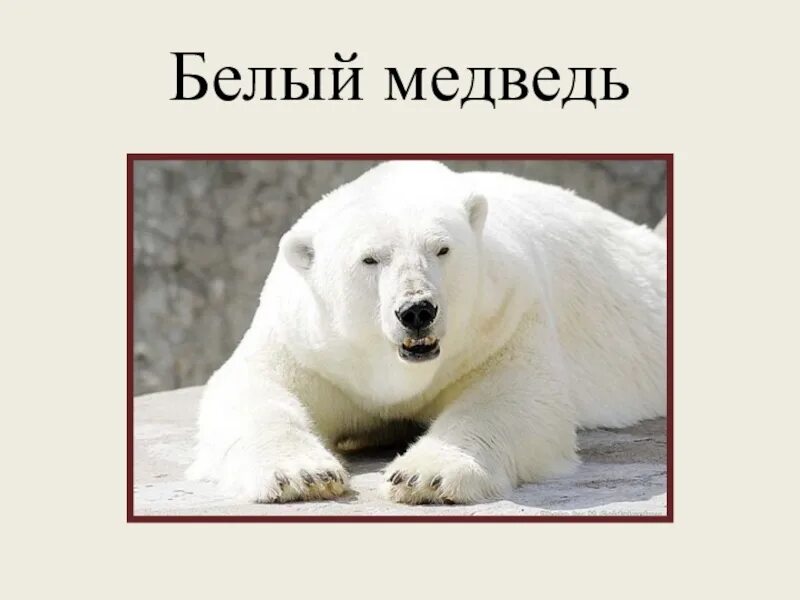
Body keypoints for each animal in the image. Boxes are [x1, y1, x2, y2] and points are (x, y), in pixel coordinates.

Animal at [186, 160, 666, 505]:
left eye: (442, 248)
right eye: (370, 259)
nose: (417, 310)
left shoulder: (504, 316)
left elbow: (518, 396)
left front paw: (424, 475)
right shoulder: (309, 344)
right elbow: (254, 389)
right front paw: (304, 475)